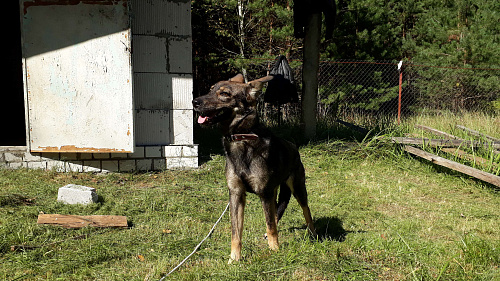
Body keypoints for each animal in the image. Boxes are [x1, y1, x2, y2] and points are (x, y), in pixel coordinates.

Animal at [192, 73, 316, 262]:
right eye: (210, 90)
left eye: (225, 94)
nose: (194, 102)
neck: (241, 139)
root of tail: (294, 146)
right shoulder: (236, 194)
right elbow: (236, 233)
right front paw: (234, 259)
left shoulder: (264, 193)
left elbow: (271, 226)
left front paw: (275, 251)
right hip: (275, 192)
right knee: (276, 212)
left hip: (297, 188)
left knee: (305, 210)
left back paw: (313, 234)